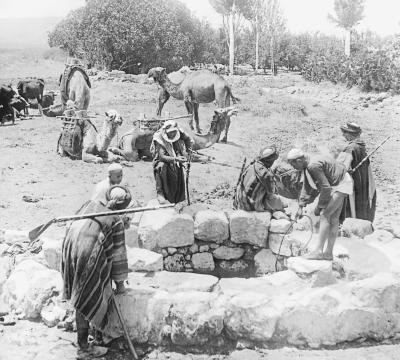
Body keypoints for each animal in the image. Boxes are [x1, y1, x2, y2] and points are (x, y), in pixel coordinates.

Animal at [108, 107, 238, 162]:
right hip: (129, 140)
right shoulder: (186, 151)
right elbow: (205, 158)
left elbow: (209, 156)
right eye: (224, 111)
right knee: (132, 155)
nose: (235, 110)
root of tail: (122, 137)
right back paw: (113, 151)